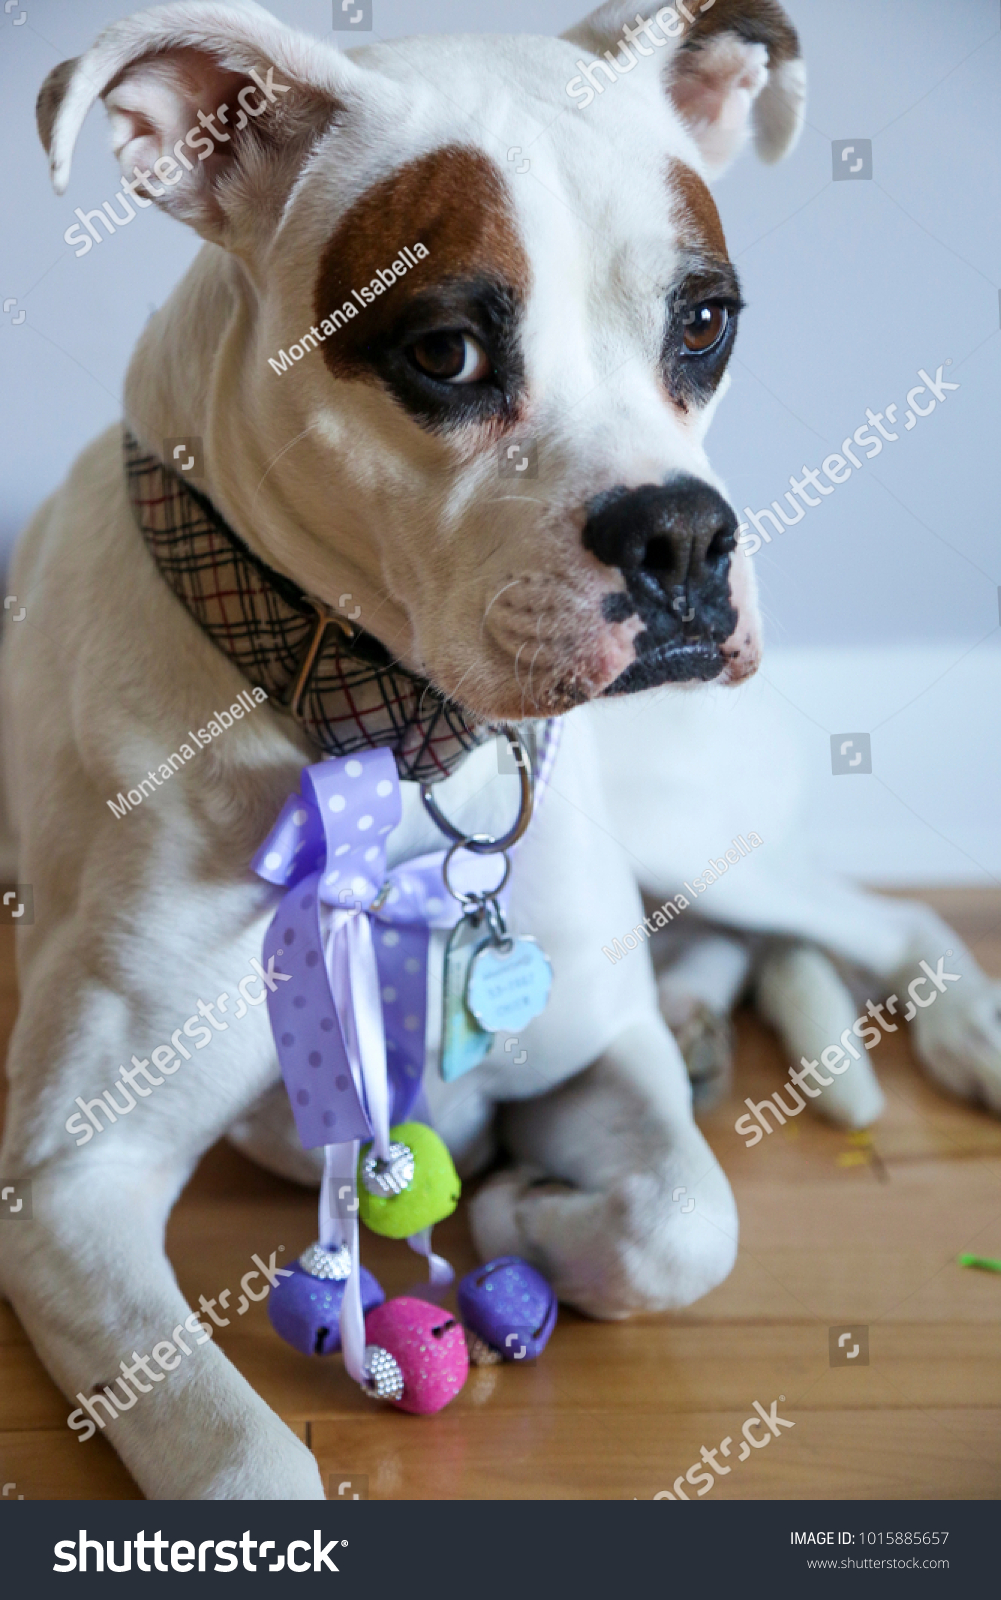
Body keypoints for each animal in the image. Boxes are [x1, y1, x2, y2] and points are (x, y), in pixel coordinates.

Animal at [1, 0, 921, 1497]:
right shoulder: (65, 1185)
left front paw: (522, 1211)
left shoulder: (600, 1054)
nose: (682, 538)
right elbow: (239, 1464)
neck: (389, 745)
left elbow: (688, 1220)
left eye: (704, 321)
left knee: (880, 923)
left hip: (689, 825)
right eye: (444, 352)